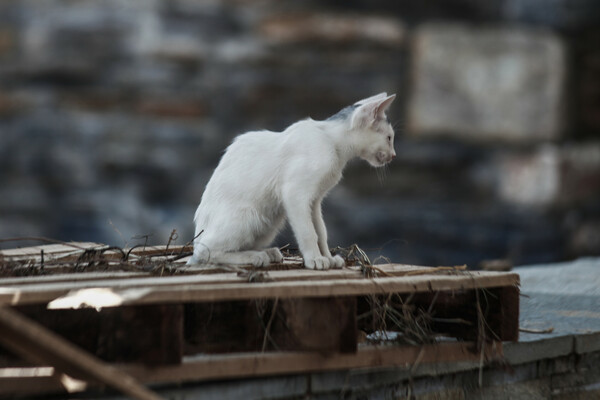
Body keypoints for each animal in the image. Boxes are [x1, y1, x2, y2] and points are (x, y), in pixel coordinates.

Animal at [186, 92, 394, 270]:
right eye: (390, 137)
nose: (393, 155)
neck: (331, 141)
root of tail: (198, 233)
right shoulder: (296, 194)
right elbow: (308, 232)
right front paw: (315, 259)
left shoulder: (315, 201)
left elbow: (321, 231)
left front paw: (328, 257)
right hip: (249, 216)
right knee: (204, 252)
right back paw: (254, 257)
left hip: (269, 223)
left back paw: (267, 252)